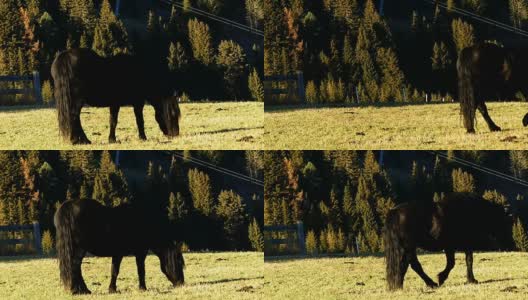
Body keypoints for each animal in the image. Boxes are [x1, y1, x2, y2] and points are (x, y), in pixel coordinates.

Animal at [51, 48, 182, 145]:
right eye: (173, 115)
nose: (175, 134)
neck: (140, 74)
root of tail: (65, 56)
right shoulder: (136, 103)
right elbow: (137, 120)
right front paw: (142, 137)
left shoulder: (116, 104)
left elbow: (113, 120)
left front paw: (112, 139)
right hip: (77, 100)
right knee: (74, 116)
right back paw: (81, 140)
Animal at [54, 198, 186, 294]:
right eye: (179, 263)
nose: (181, 284)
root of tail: (69, 205)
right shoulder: (139, 252)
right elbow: (138, 270)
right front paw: (142, 288)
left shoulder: (118, 254)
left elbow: (114, 270)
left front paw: (112, 289)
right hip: (79, 248)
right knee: (75, 266)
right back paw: (80, 290)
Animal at [384, 192, 512, 290]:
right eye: (504, 222)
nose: (508, 243)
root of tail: (395, 211)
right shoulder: (460, 245)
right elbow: (461, 262)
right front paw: (444, 278)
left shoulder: (452, 246)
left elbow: (461, 261)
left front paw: (469, 279)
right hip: (409, 246)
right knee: (412, 264)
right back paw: (429, 283)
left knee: (406, 264)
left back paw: (399, 285)